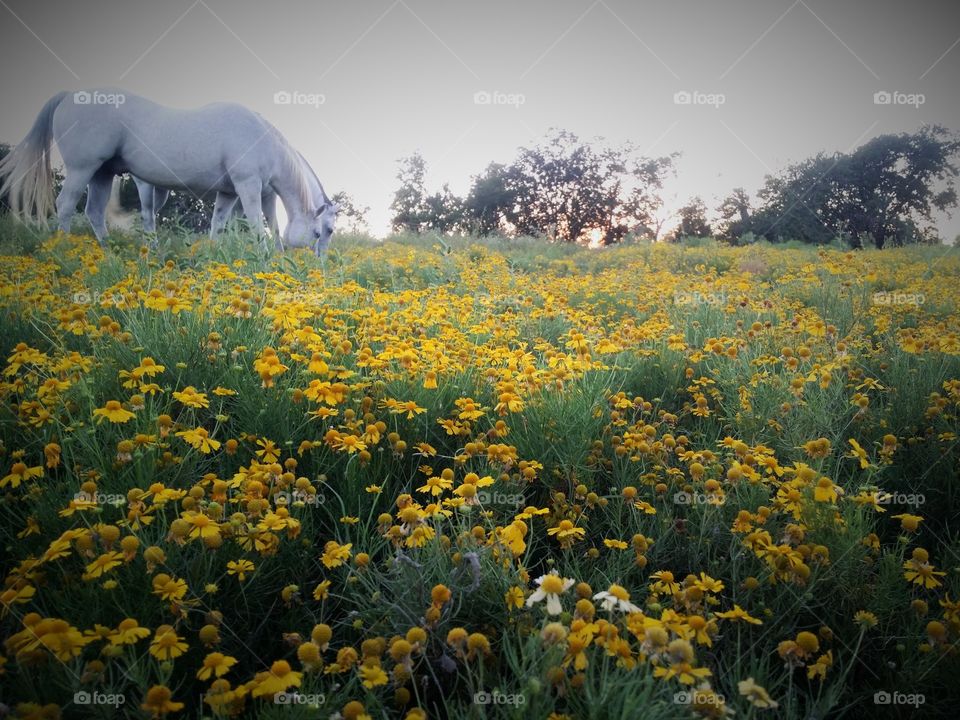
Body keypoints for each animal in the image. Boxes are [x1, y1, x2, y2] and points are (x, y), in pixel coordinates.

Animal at [0, 89, 340, 255]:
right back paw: (64, 250)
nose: (320, 265)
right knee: (66, 205)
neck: (262, 137)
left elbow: (222, 224)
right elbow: (258, 225)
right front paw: (266, 258)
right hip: (83, 169)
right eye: (320, 232)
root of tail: (69, 96)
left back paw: (109, 253)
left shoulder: (232, 192)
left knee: (94, 212)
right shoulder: (248, 186)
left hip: (102, 174)